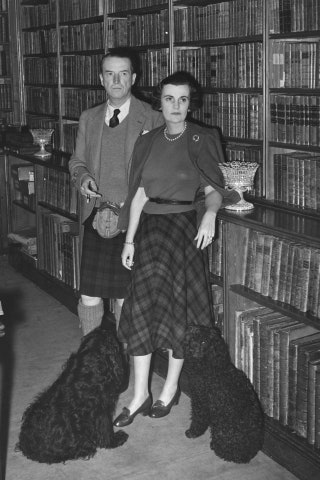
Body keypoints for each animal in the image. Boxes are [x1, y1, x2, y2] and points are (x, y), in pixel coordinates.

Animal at [184, 324, 264, 464]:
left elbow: (198, 419)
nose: (191, 349)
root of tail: (247, 455)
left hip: (221, 428)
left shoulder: (201, 401)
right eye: (192, 338)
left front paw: (193, 432)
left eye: (204, 342)